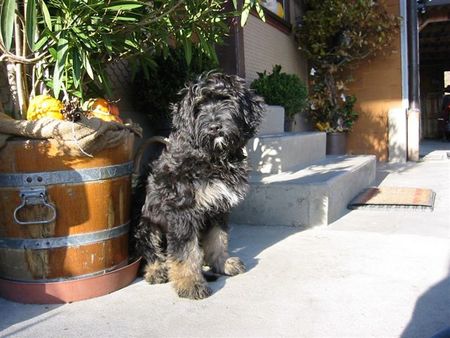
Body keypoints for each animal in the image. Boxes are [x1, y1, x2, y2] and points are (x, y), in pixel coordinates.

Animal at [131, 72, 264, 300]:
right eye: (198, 107)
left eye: (225, 100)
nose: (214, 127)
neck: (213, 157)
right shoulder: (182, 210)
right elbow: (185, 251)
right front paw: (190, 283)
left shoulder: (219, 206)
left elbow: (219, 238)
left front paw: (222, 263)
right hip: (147, 225)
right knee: (149, 251)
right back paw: (157, 271)